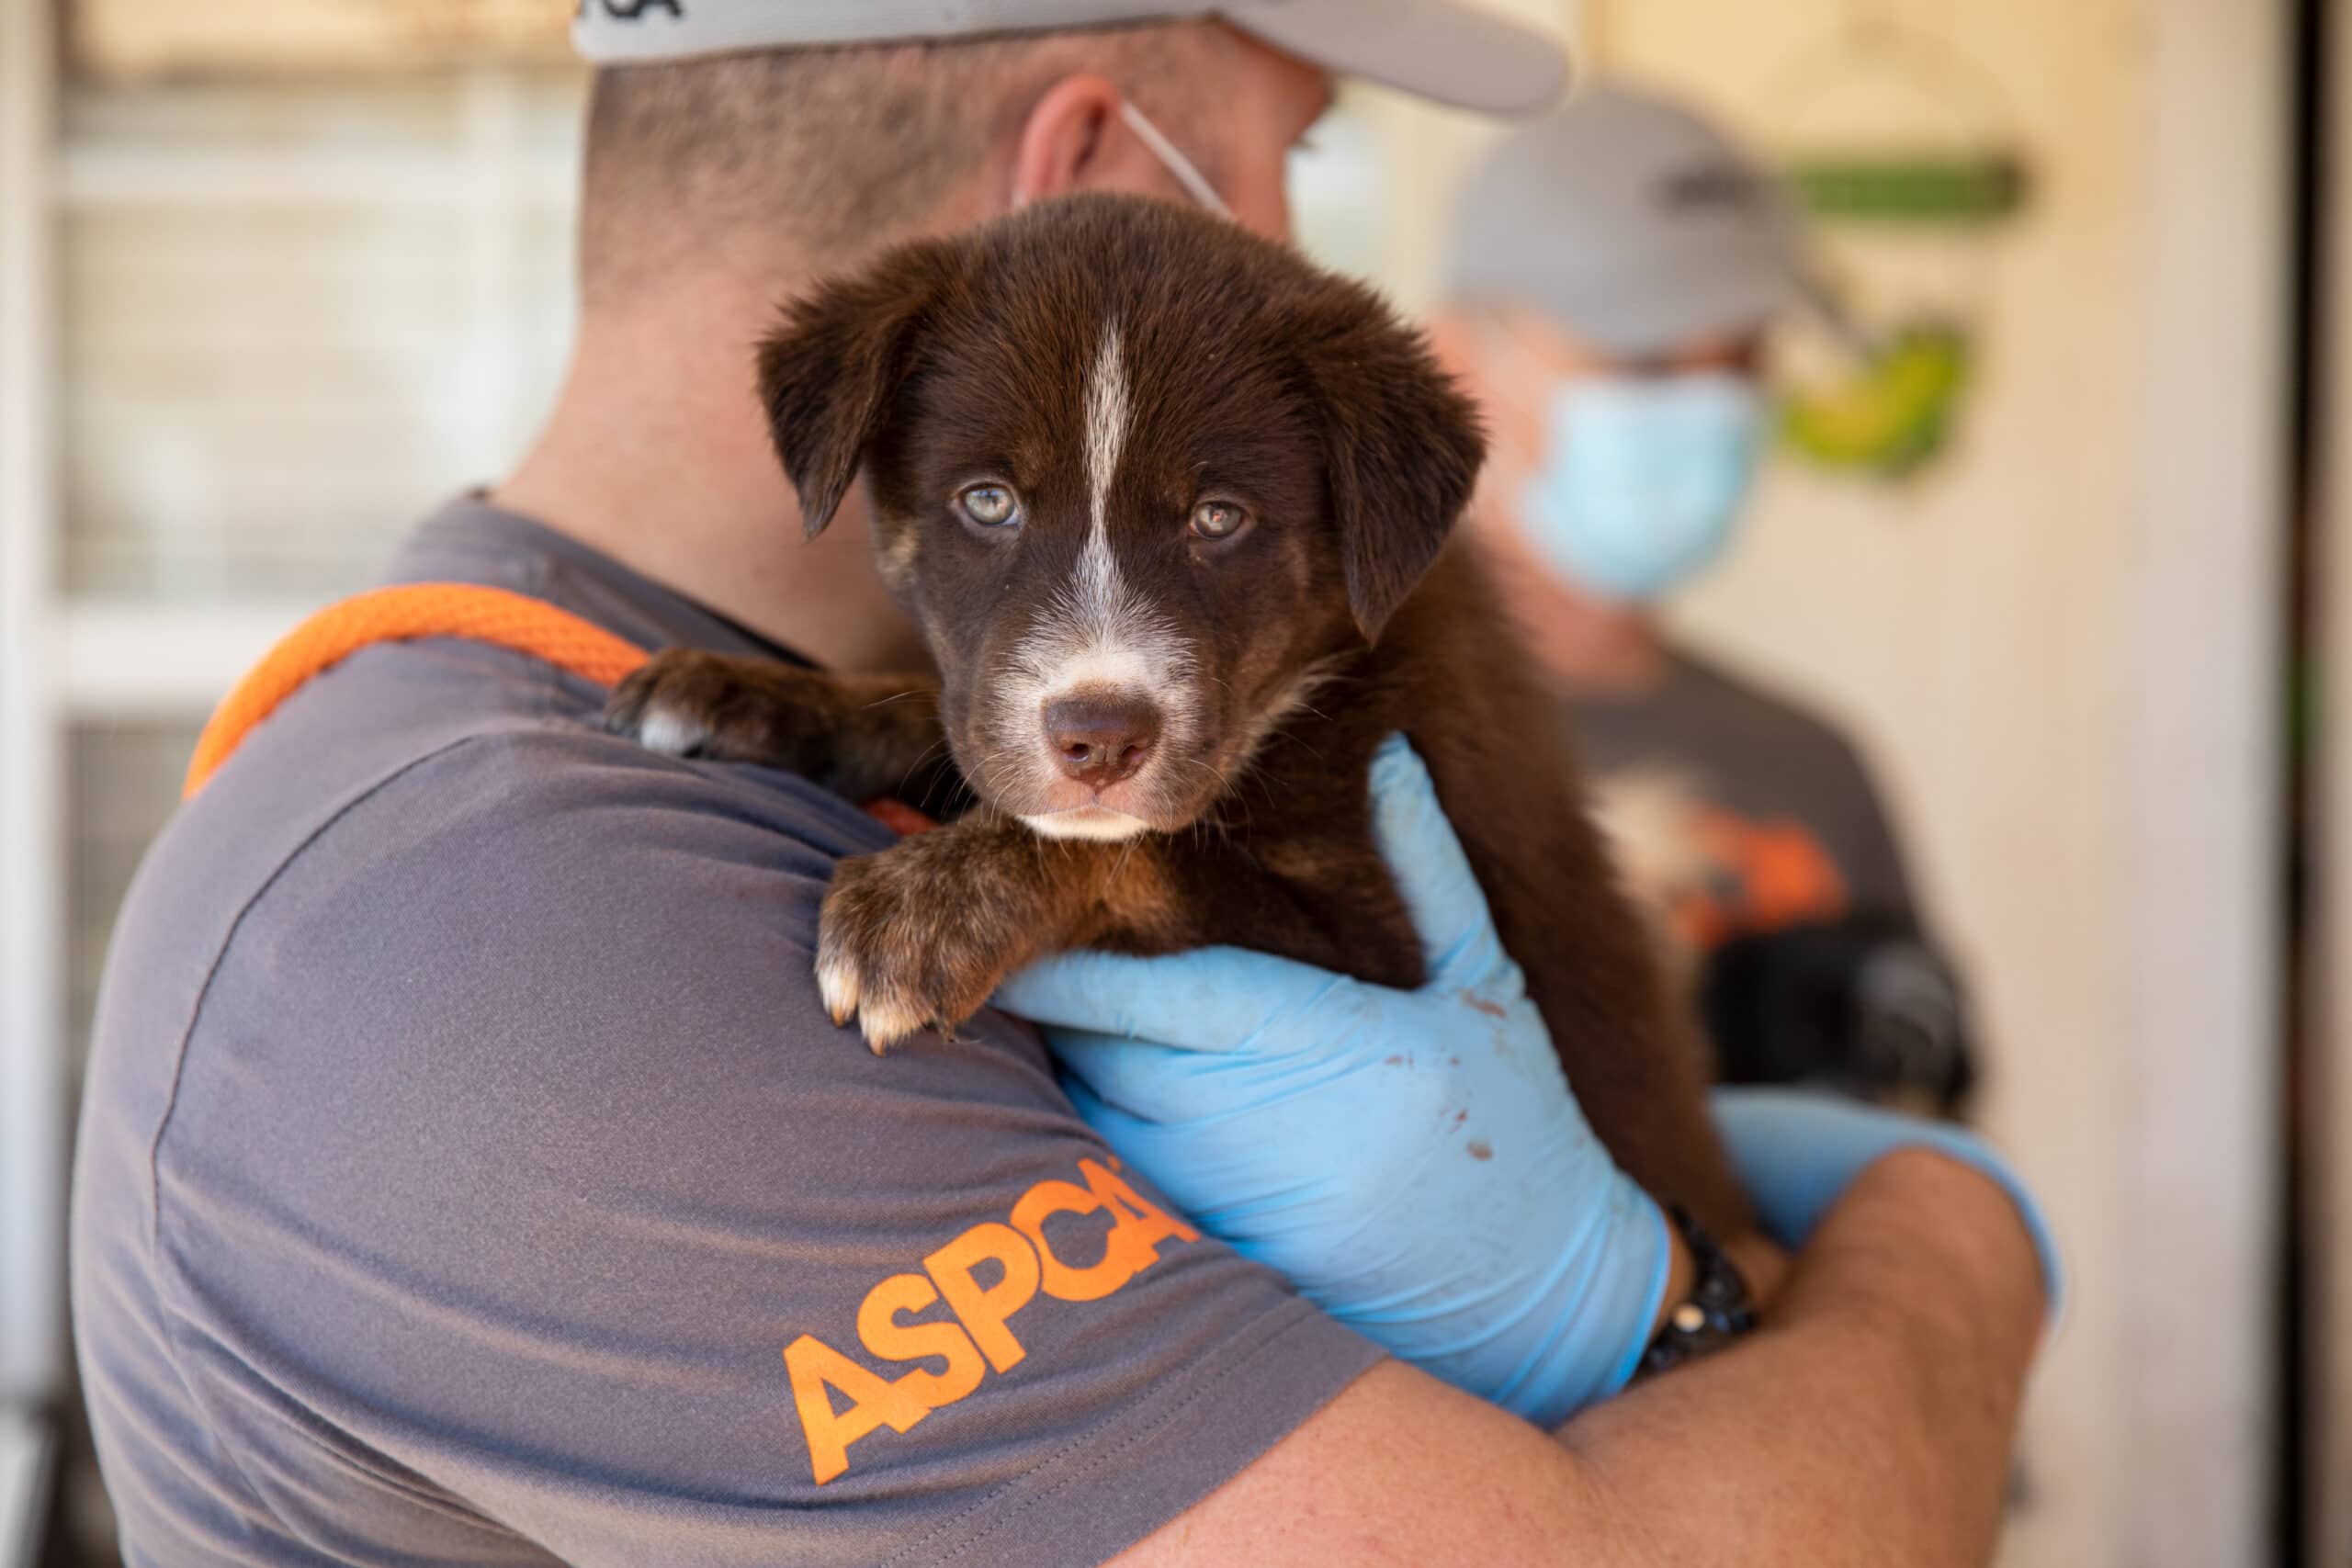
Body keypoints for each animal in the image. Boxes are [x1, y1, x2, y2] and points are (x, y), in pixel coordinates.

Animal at [606, 192, 1749, 1222]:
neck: (1306, 683)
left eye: (1218, 518)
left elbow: (1135, 850)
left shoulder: (1385, 948)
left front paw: (926, 907)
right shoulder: (990, 707)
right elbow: (939, 719)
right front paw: (744, 690)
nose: (1100, 740)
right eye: (987, 502)